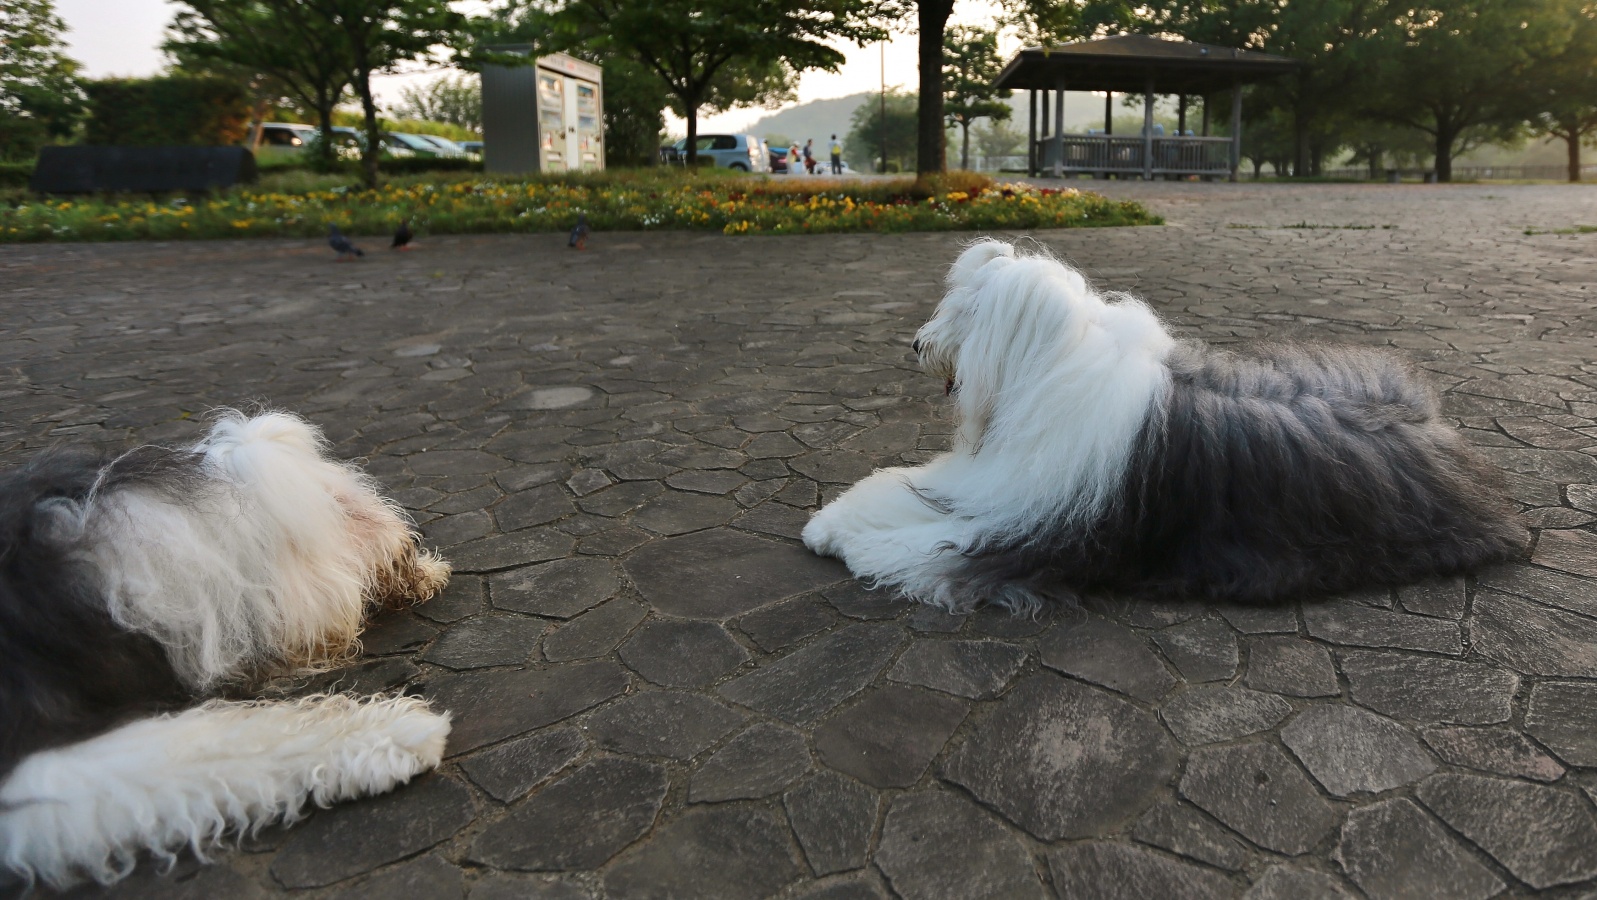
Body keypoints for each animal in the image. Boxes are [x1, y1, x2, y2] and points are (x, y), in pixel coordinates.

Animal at [803, 239, 1527, 614]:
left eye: (963, 313)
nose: (916, 346)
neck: (1043, 374)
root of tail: (1433, 425)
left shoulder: (1025, 528)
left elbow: (931, 547)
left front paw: (855, 545)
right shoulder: (986, 485)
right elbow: (899, 490)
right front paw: (828, 522)